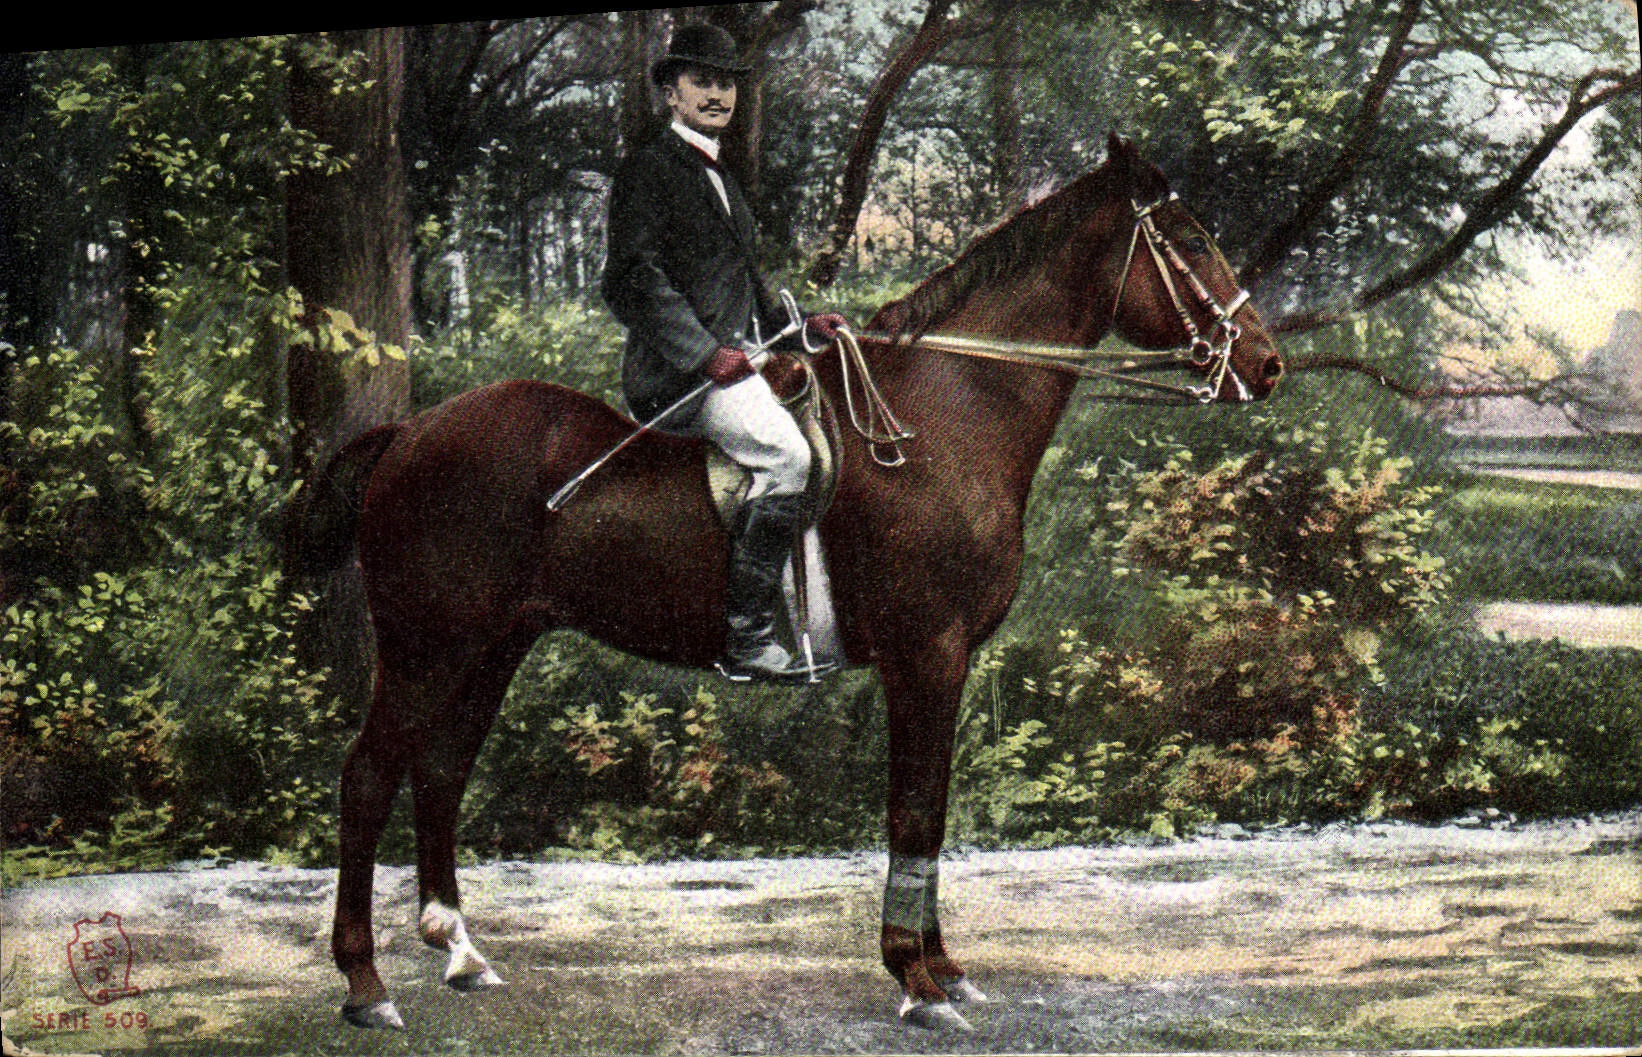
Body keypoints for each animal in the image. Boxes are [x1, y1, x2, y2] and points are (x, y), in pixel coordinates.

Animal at [287, 131, 1283, 1033]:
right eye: (1191, 238)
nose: (1267, 363)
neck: (945, 412)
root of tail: (410, 433)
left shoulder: (940, 664)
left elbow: (932, 812)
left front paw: (945, 969)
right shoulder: (927, 656)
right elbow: (914, 812)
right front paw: (916, 980)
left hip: (493, 646)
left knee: (442, 768)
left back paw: (460, 951)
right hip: (426, 647)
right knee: (368, 776)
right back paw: (365, 985)